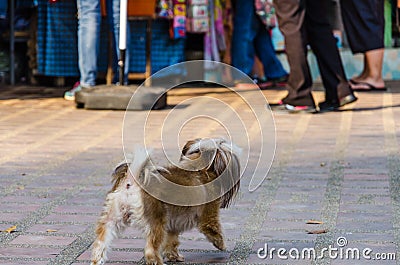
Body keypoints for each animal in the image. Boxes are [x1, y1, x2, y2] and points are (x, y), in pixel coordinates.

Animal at [90, 137, 241, 262]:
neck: (199, 169)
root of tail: (131, 182)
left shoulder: (172, 227)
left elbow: (171, 243)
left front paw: (174, 256)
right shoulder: (208, 216)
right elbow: (215, 230)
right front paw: (222, 245)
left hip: (112, 220)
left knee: (100, 245)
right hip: (157, 223)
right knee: (151, 251)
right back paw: (157, 261)